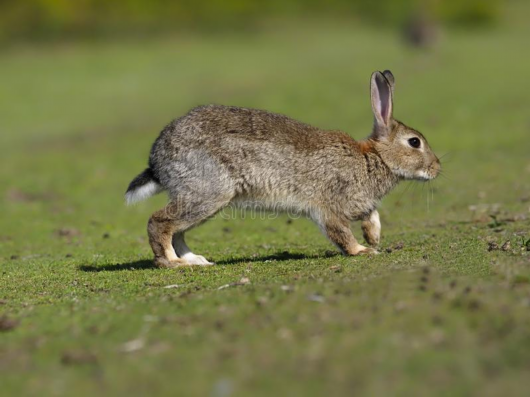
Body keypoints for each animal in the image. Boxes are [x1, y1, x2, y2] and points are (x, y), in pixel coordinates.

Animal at [124, 70, 438, 270]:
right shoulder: (328, 205)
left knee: (178, 231)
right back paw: (173, 263)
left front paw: (374, 237)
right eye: (414, 142)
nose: (437, 168)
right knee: (159, 222)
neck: (374, 157)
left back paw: (195, 260)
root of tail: (157, 158)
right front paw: (364, 250)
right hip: (207, 192)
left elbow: (372, 216)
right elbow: (340, 233)